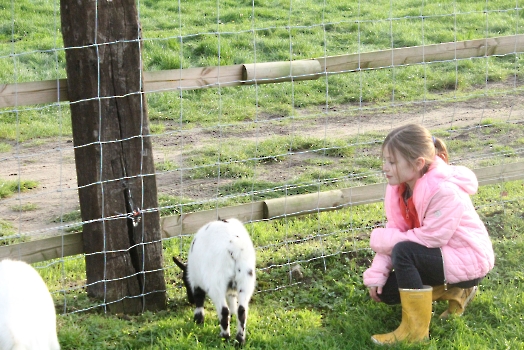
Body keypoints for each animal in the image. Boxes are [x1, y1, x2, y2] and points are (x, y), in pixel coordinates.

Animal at [173, 217, 256, 346]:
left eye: (185, 281)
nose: (190, 301)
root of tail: (234, 248)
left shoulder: (196, 281)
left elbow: (199, 299)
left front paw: (198, 321)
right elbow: (232, 301)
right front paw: (232, 317)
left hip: (216, 282)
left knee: (224, 311)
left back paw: (225, 337)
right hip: (246, 278)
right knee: (242, 311)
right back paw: (239, 341)